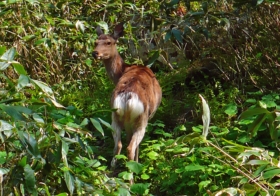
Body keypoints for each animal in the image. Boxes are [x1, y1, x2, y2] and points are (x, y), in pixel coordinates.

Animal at [92, 23, 162, 170]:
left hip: (115, 115)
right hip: (141, 119)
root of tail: (128, 97)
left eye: (108, 42)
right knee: (131, 147)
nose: (95, 53)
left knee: (118, 145)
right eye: (95, 42)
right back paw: (134, 170)